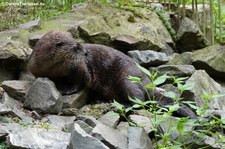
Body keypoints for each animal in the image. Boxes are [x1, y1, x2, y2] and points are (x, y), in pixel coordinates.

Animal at [28, 30, 197, 118]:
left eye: (79, 43)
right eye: (76, 47)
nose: (86, 52)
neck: (53, 69)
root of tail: (146, 81)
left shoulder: (79, 68)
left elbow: (80, 81)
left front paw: (67, 89)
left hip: (126, 79)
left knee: (139, 100)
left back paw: (116, 105)